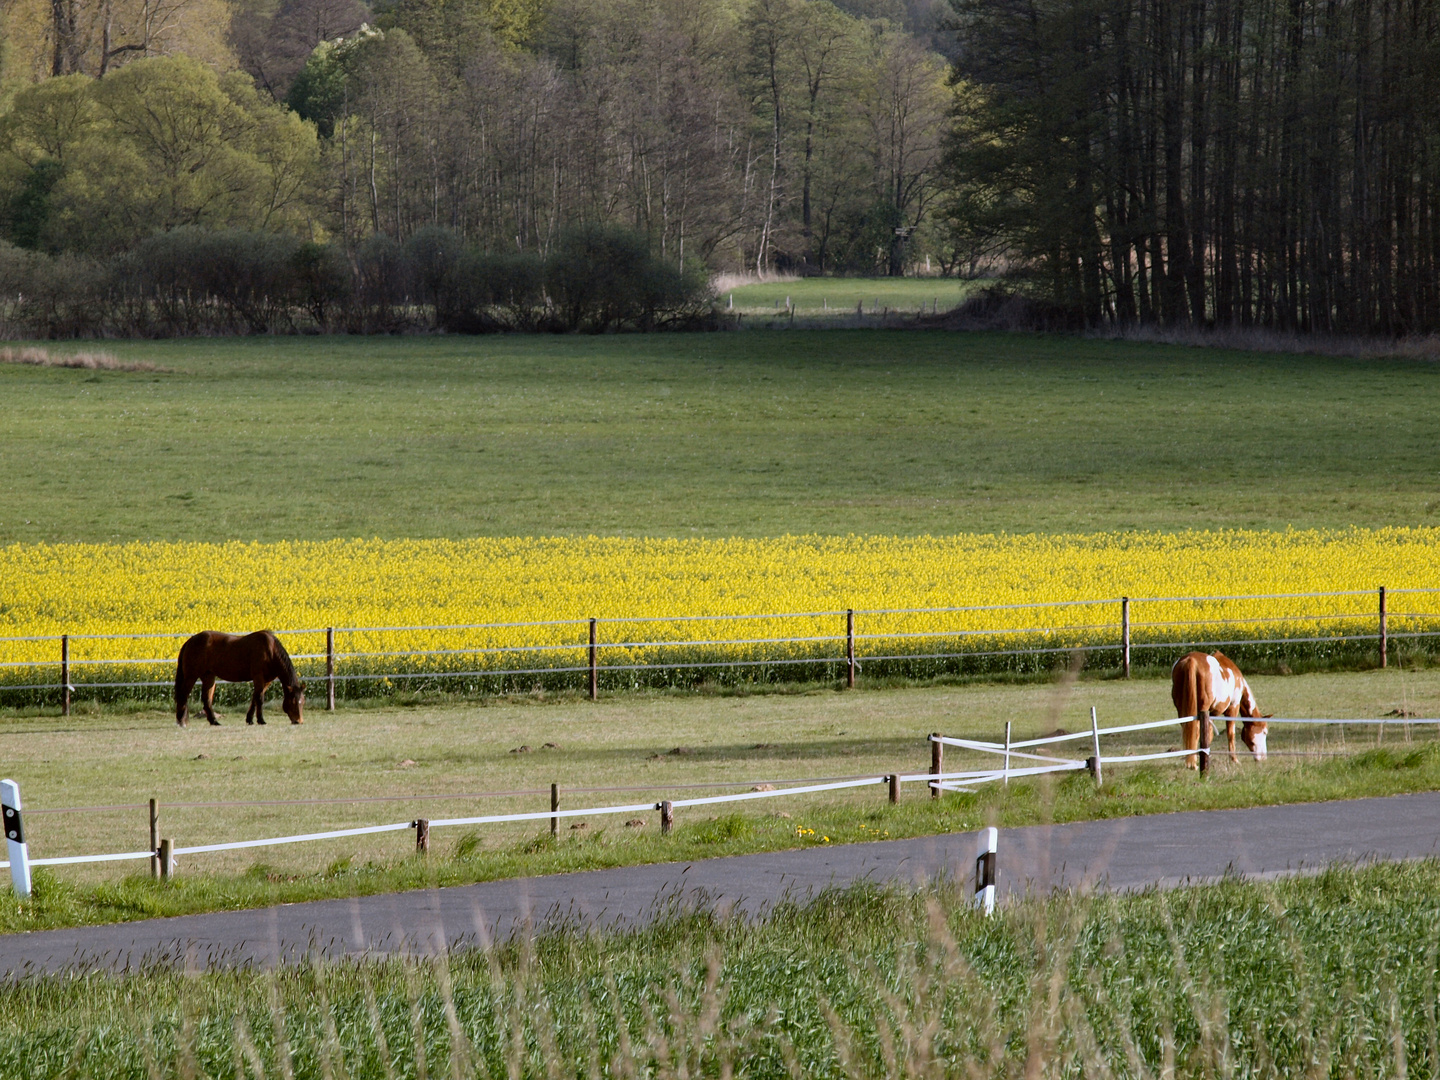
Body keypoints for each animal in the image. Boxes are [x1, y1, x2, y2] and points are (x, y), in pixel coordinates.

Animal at [177, 630, 306, 731]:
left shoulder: (266, 681)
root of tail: (190, 640)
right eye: (293, 702)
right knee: (183, 695)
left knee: (206, 698)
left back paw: (214, 721)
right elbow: (260, 698)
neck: (270, 651)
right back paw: (181, 722)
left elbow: (255, 698)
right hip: (191, 676)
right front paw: (261, 720)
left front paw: (250, 719)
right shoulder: (259, 677)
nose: (298, 721)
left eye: (303, 701)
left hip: (209, 676)